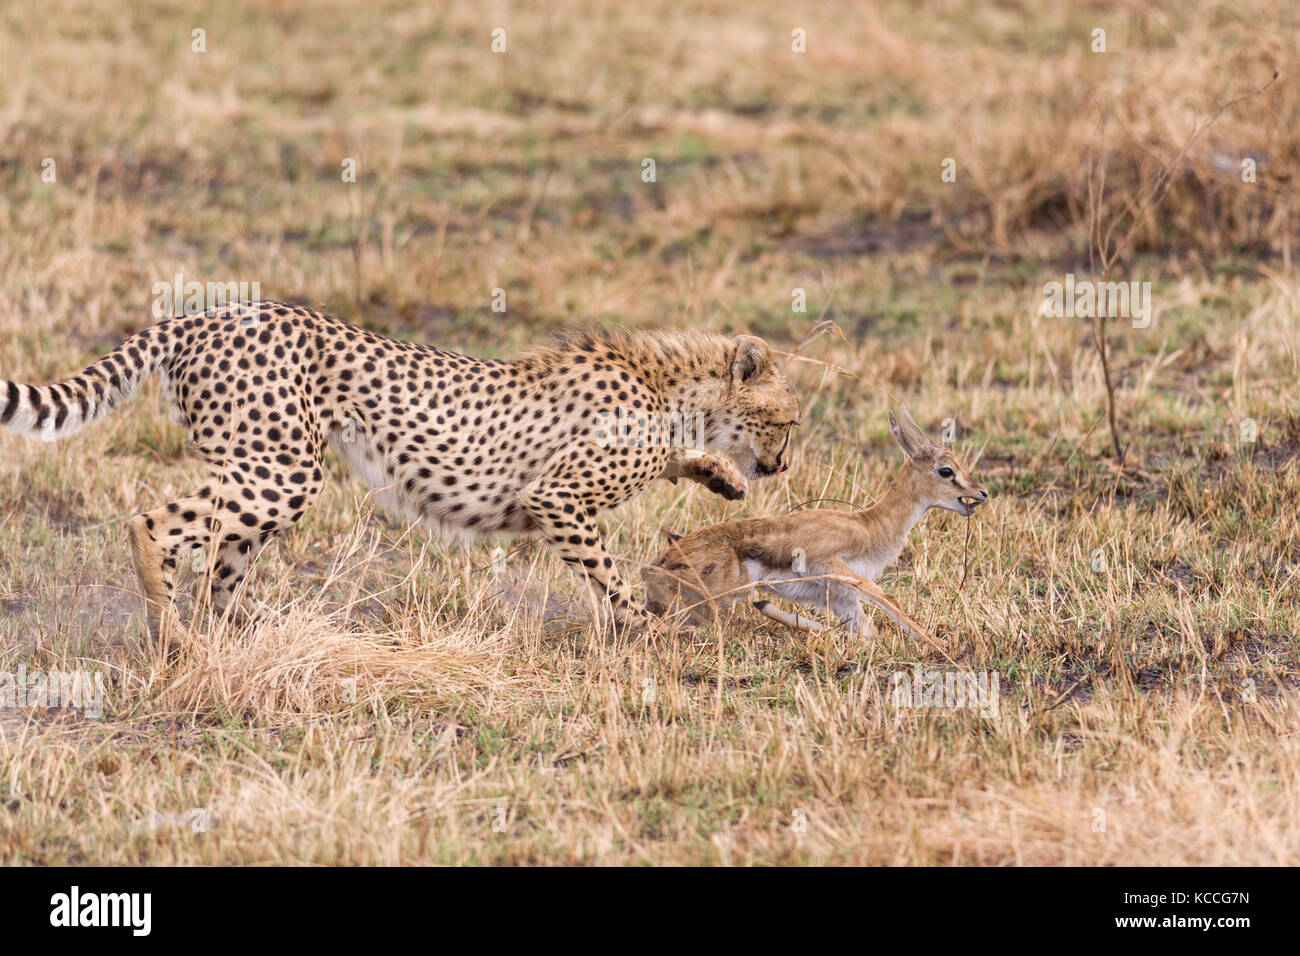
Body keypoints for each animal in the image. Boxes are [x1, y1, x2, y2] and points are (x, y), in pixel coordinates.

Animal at [0, 303, 800, 639]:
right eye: (789, 421)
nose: (782, 464)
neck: (672, 389)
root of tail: (205, 312)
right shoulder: (556, 498)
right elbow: (607, 571)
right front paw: (645, 627)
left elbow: (679, 463)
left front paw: (720, 476)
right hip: (283, 467)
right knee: (154, 522)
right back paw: (172, 634)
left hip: (263, 466)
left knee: (223, 568)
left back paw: (261, 630)